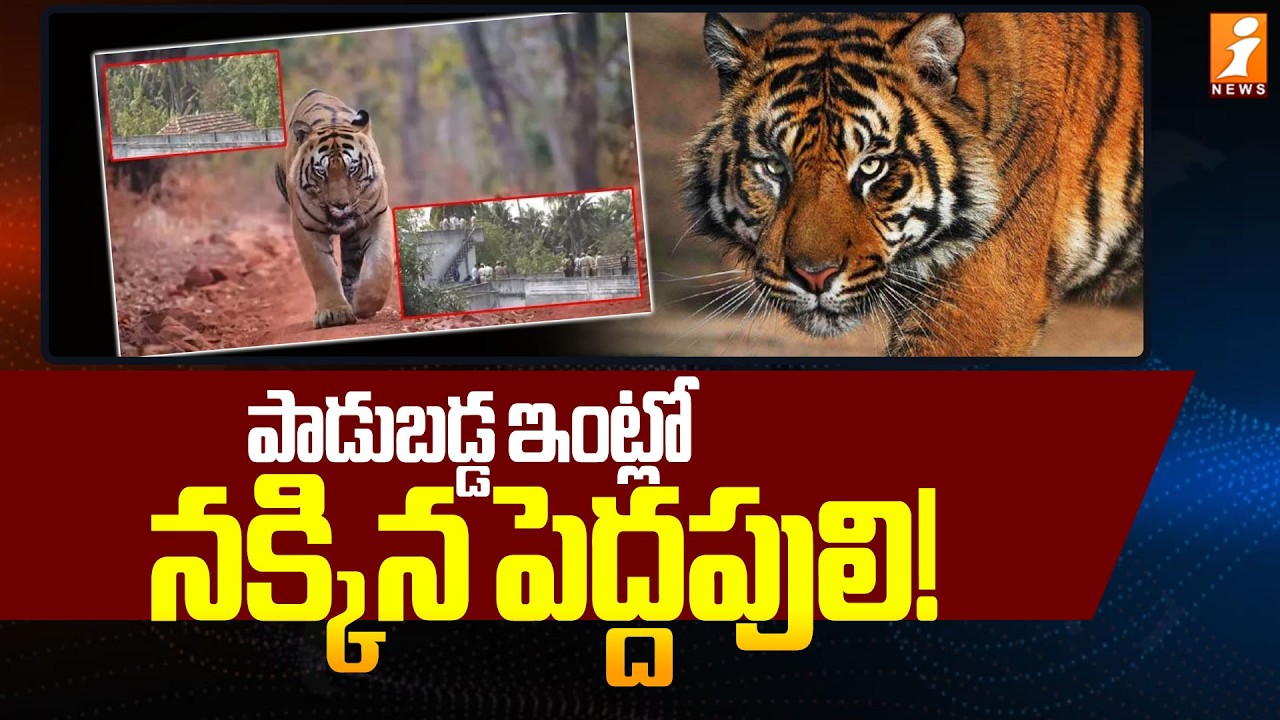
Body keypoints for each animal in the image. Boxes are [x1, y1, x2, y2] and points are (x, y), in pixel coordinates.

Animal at [275, 89, 393, 328]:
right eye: (321, 172)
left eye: (353, 169)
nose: (341, 205)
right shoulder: (306, 227)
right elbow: (322, 270)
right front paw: (334, 312)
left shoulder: (377, 215)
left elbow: (381, 264)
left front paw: (365, 304)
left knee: (350, 268)